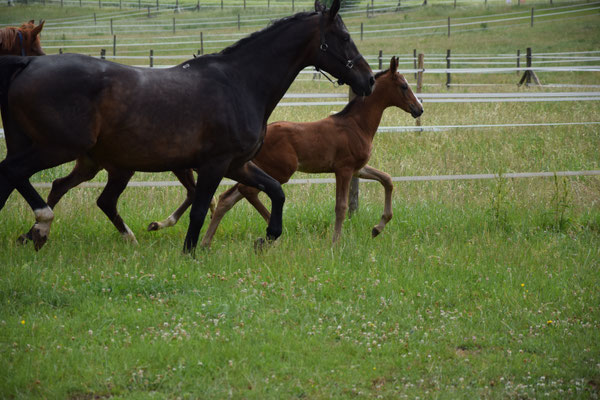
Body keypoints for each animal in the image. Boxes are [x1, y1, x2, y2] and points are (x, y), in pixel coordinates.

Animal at [0, 0, 372, 253]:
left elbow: (276, 191)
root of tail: (27, 63)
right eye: (343, 36)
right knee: (14, 174)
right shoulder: (214, 164)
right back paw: (42, 225)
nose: (367, 80)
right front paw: (190, 252)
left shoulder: (237, 164)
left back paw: (41, 233)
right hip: (58, 148)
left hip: (74, 155)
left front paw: (266, 239)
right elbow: (199, 209)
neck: (239, 82)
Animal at [148, 55, 424, 244]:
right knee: (247, 192)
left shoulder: (358, 168)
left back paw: (206, 242)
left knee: (229, 197)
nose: (418, 109)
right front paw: (336, 243)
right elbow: (342, 206)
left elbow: (387, 180)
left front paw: (378, 227)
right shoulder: (344, 169)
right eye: (403, 86)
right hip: (281, 170)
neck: (356, 124)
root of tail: (261, 133)